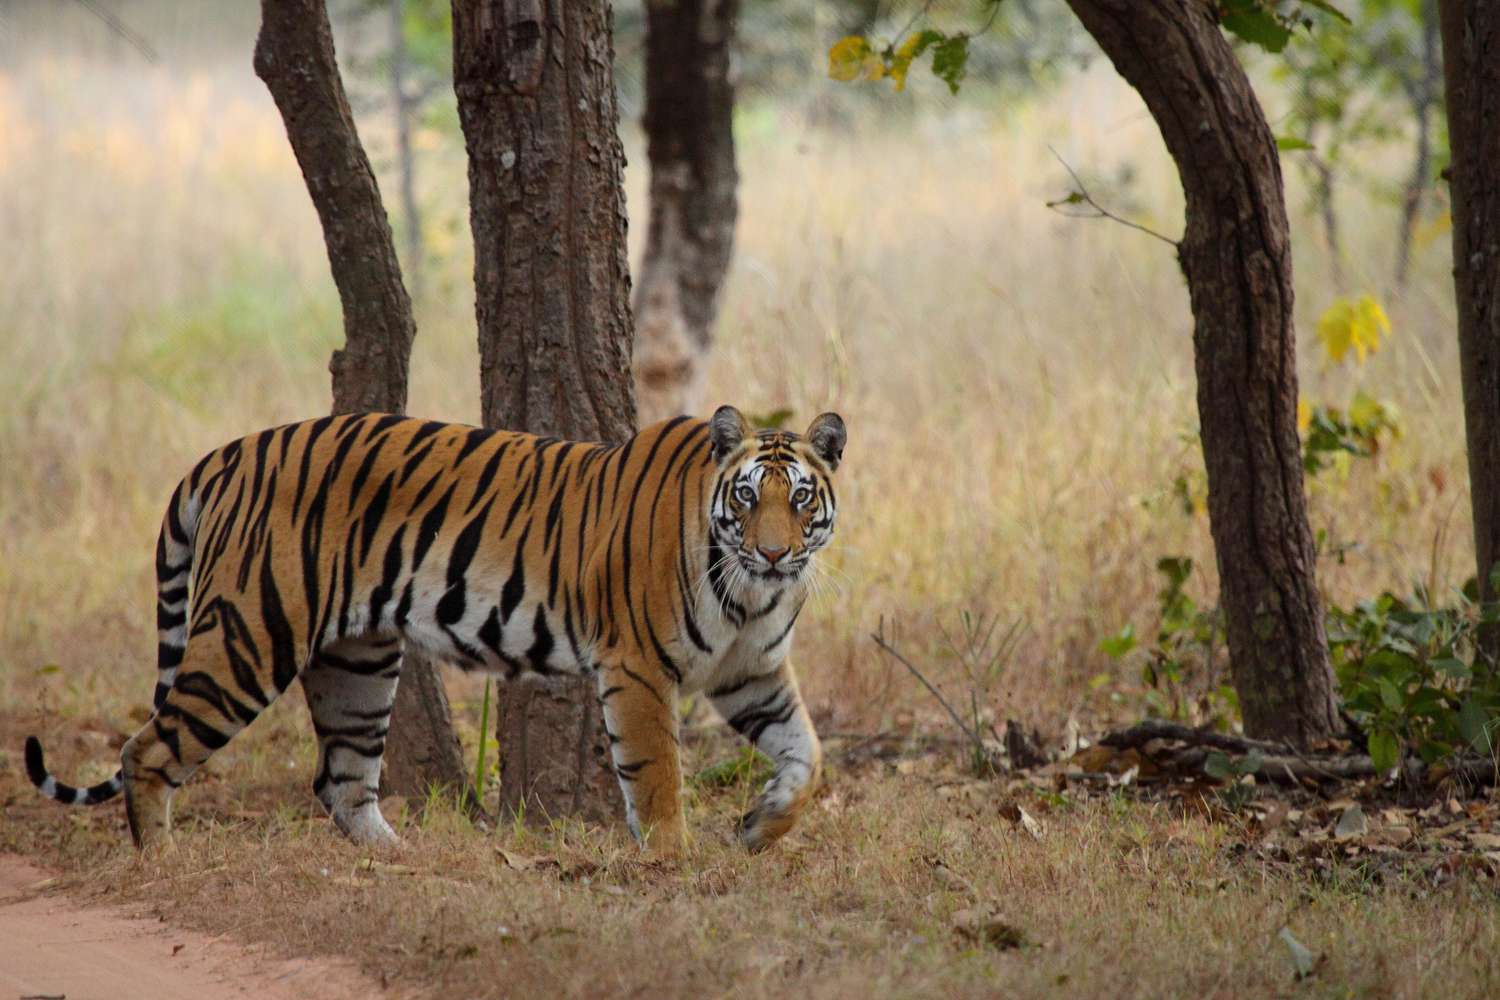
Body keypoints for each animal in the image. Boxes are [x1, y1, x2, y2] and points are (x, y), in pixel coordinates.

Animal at [24, 405, 846, 856]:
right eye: (747, 498)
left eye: (801, 499)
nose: (776, 552)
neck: (753, 595)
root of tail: (227, 453)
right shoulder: (638, 666)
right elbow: (658, 773)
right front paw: (674, 860)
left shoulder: (752, 672)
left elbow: (808, 755)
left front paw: (760, 827)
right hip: (247, 636)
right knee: (148, 748)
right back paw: (161, 862)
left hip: (355, 663)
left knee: (341, 780)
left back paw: (399, 858)